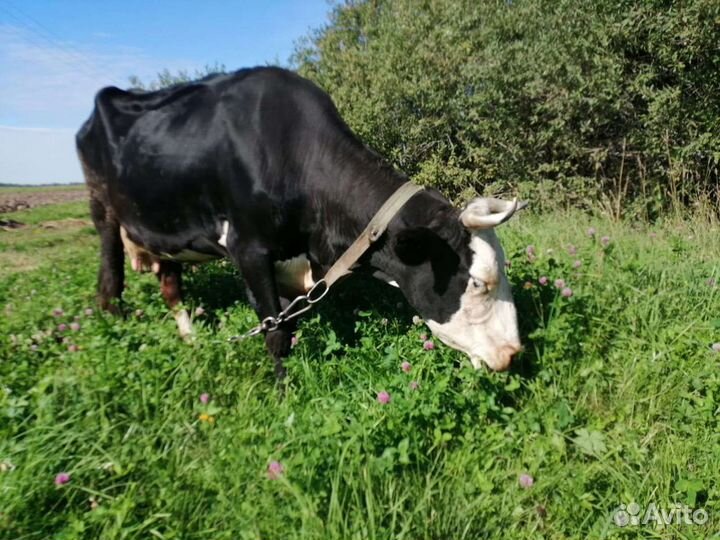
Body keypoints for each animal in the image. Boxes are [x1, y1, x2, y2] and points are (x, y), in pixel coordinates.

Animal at [76, 66, 525, 378]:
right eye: (477, 283)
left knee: (170, 286)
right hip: (102, 212)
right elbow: (276, 333)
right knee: (109, 285)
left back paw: (192, 342)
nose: (513, 354)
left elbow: (288, 321)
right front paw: (284, 395)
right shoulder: (247, 248)